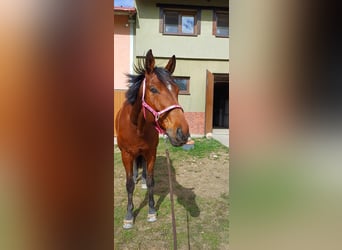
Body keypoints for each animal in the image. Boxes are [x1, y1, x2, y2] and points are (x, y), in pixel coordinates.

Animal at [115, 48, 190, 229]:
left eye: (177, 90)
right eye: (153, 89)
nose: (182, 132)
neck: (137, 126)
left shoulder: (151, 153)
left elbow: (150, 181)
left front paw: (151, 210)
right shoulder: (126, 154)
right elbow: (129, 184)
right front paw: (129, 215)